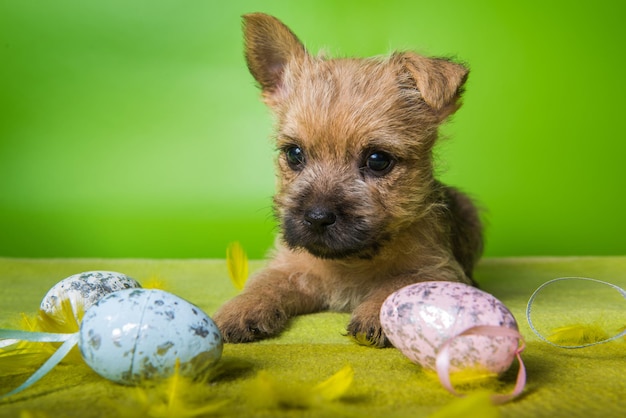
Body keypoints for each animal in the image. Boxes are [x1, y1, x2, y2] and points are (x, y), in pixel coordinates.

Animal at [214, 12, 482, 346]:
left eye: (378, 160)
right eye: (294, 154)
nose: (317, 218)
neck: (352, 261)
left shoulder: (439, 270)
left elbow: (400, 284)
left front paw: (376, 314)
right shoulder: (290, 266)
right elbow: (265, 282)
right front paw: (241, 308)